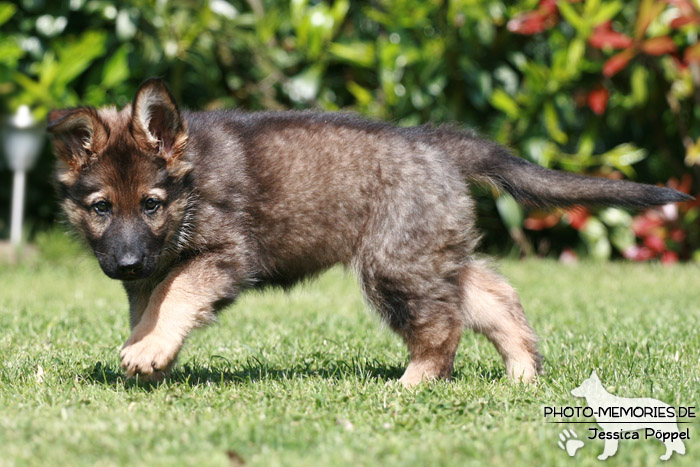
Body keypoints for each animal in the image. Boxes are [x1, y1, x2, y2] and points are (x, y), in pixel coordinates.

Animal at [47, 79, 688, 388]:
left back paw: (415, 381)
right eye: (101, 208)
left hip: (392, 265)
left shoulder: (225, 254)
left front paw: (150, 350)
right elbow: (150, 303)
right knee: (491, 298)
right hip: (428, 252)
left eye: (151, 204)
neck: (190, 185)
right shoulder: (149, 272)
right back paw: (523, 373)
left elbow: (174, 293)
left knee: (443, 328)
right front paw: (148, 351)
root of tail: (433, 142)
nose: (125, 263)